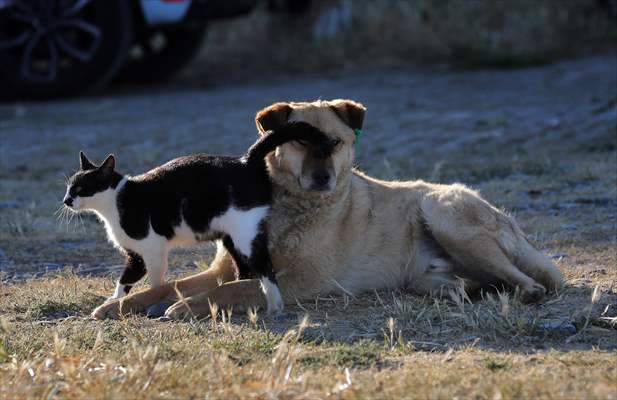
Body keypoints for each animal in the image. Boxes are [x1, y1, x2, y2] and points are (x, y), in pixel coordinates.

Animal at [61, 120, 336, 314]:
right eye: (68, 187)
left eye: (81, 188)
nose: (66, 200)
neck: (115, 201)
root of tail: (246, 161)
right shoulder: (135, 255)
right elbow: (124, 281)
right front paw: (115, 300)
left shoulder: (151, 251)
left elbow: (152, 281)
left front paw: (144, 299)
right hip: (231, 238)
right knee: (245, 270)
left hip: (246, 235)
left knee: (265, 267)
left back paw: (274, 305)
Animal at [92, 101, 564, 322]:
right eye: (301, 141)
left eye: (335, 142)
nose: (322, 178)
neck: (285, 208)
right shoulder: (222, 270)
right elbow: (169, 285)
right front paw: (120, 305)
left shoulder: (297, 282)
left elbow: (227, 292)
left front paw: (187, 308)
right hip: (428, 271)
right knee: (472, 281)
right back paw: (460, 290)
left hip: (442, 211)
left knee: (528, 280)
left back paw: (523, 292)